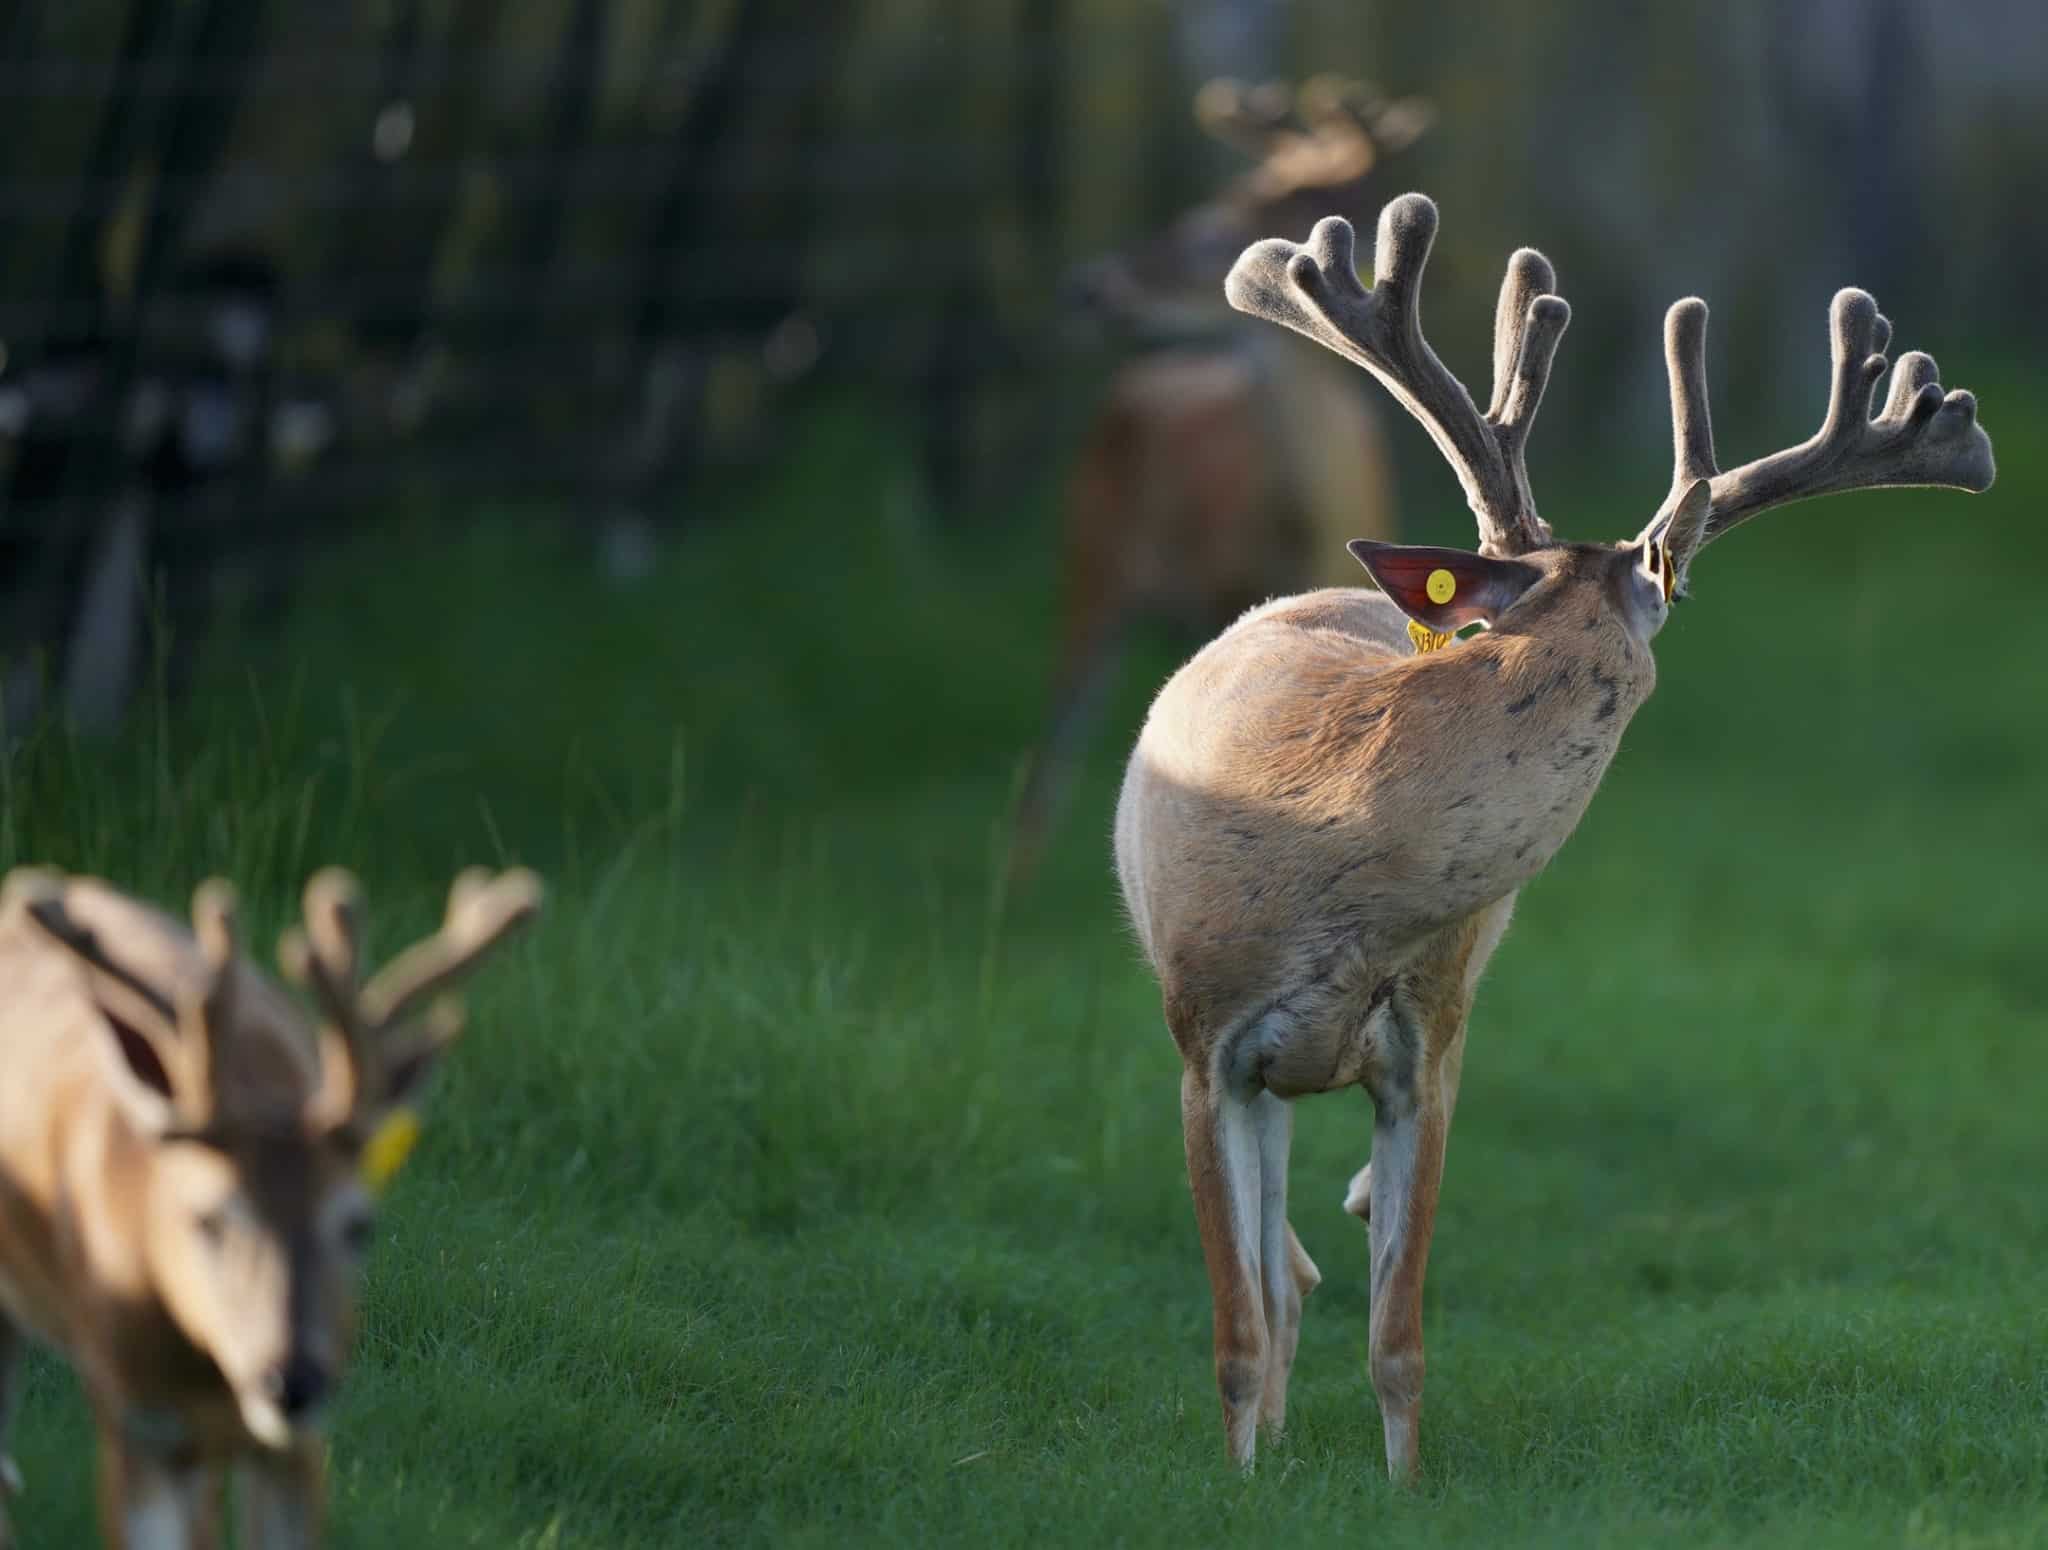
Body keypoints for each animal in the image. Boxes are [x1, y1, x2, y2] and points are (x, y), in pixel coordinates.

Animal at [1010, 78, 1432, 876]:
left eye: (1213, 233)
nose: (1088, 286)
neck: (1304, 526)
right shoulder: (1221, 596)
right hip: (1091, 558)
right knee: (1054, 747)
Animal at [1113, 192, 1994, 1481]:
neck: (1326, 850)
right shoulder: (1202, 1034)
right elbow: (1233, 1325)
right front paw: (1238, 1488)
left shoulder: (1424, 1044)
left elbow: (1397, 1336)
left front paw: (1399, 1492)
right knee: (1275, 1275)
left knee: (1306, 1261)